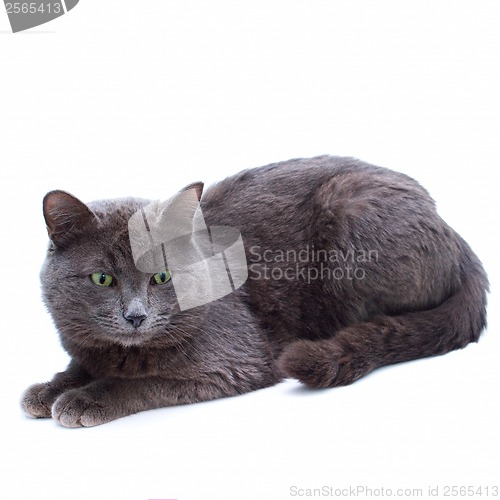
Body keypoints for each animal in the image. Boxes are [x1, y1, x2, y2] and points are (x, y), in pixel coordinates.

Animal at [21, 155, 486, 426]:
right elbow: (82, 364)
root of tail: (457, 237)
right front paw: (50, 388)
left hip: (350, 222)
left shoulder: (235, 362)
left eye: (163, 277)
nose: (136, 315)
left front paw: (84, 399)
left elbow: (144, 382)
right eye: (103, 279)